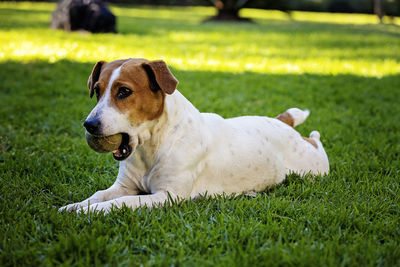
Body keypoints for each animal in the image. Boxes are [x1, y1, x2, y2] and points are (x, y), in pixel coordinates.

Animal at [58, 59, 328, 216]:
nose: (89, 125)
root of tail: (282, 122)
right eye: (97, 91)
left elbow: (121, 202)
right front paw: (76, 206)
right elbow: (98, 195)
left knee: (316, 143)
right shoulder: (124, 186)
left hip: (314, 168)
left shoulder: (167, 196)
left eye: (124, 91)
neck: (152, 145)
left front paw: (91, 211)